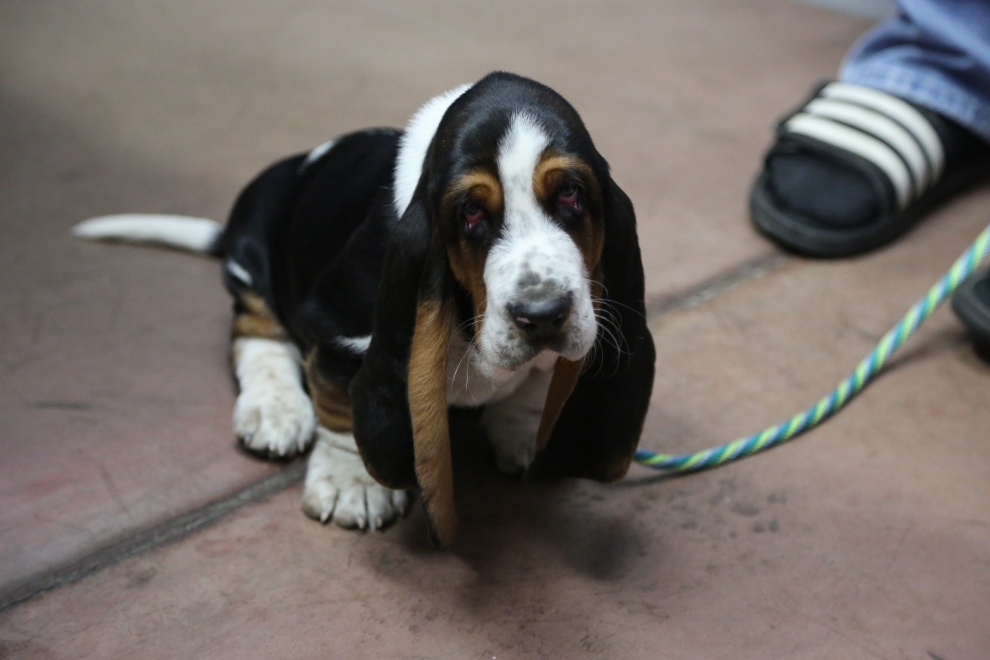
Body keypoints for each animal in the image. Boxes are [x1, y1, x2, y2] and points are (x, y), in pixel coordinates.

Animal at [75, 72, 660, 548]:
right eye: (469, 212)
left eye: (573, 195)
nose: (543, 314)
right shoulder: (341, 334)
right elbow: (341, 407)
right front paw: (352, 484)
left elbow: (532, 385)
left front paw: (526, 432)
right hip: (255, 262)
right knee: (255, 335)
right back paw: (274, 410)